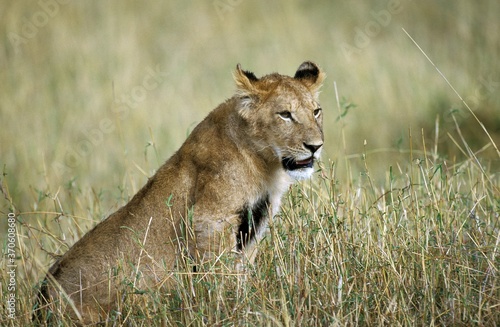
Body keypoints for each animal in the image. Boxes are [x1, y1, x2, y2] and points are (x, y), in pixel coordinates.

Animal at [34, 61, 324, 326]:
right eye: (285, 114)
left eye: (316, 111)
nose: (316, 146)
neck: (266, 164)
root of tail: (41, 302)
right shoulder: (210, 219)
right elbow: (221, 275)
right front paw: (233, 309)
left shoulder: (254, 225)